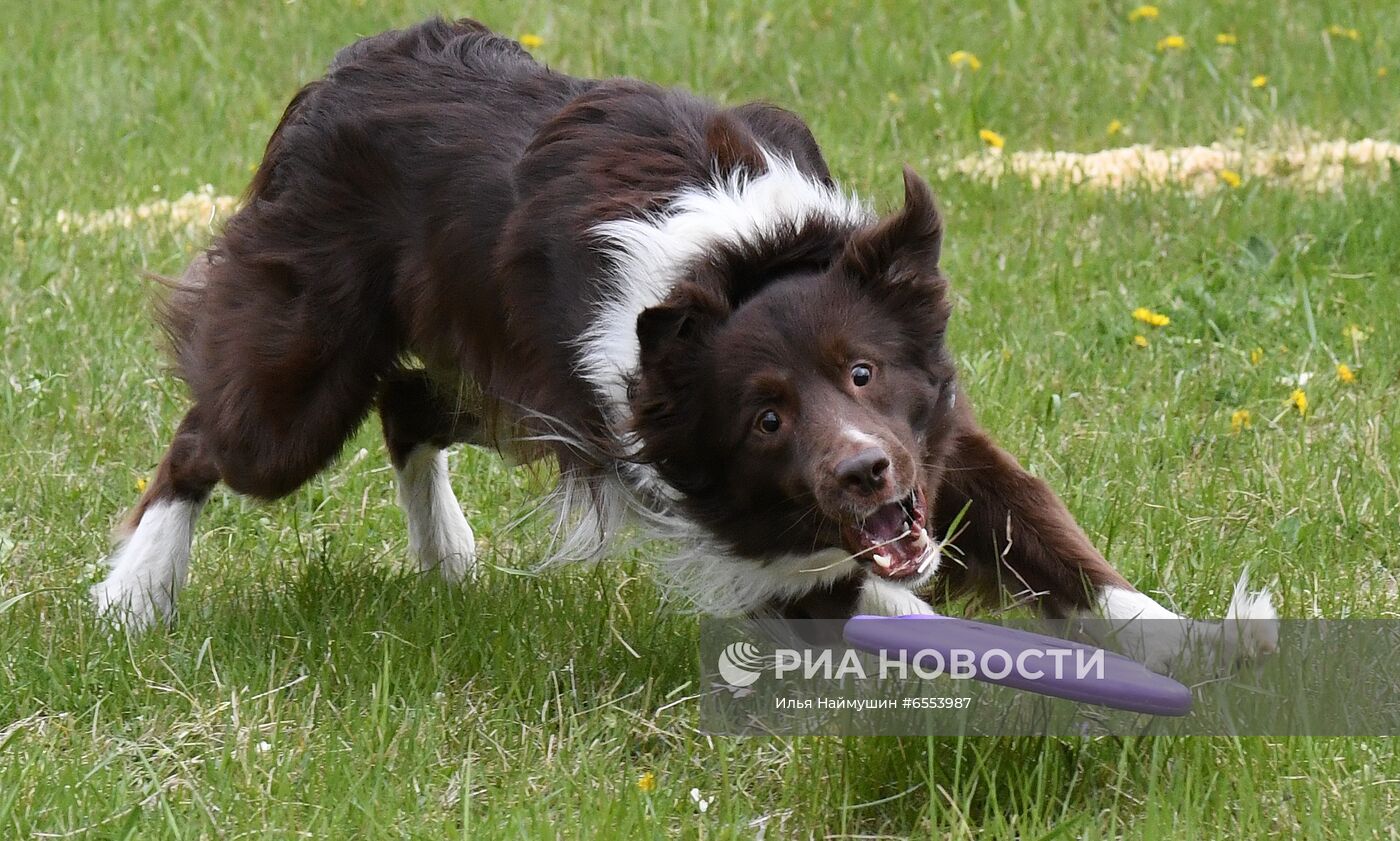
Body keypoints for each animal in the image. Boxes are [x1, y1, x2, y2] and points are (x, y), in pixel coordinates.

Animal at [95, 19, 1282, 671]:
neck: (741, 258)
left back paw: (446, 551)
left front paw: (1208, 639)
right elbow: (851, 594)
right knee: (212, 438)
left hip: (513, 386)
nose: (862, 473)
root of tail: (341, 71)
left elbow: (1051, 539)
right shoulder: (713, 505)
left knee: (408, 406)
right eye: (764, 417)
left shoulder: (932, 438)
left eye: (863, 370)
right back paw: (136, 589)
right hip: (302, 374)